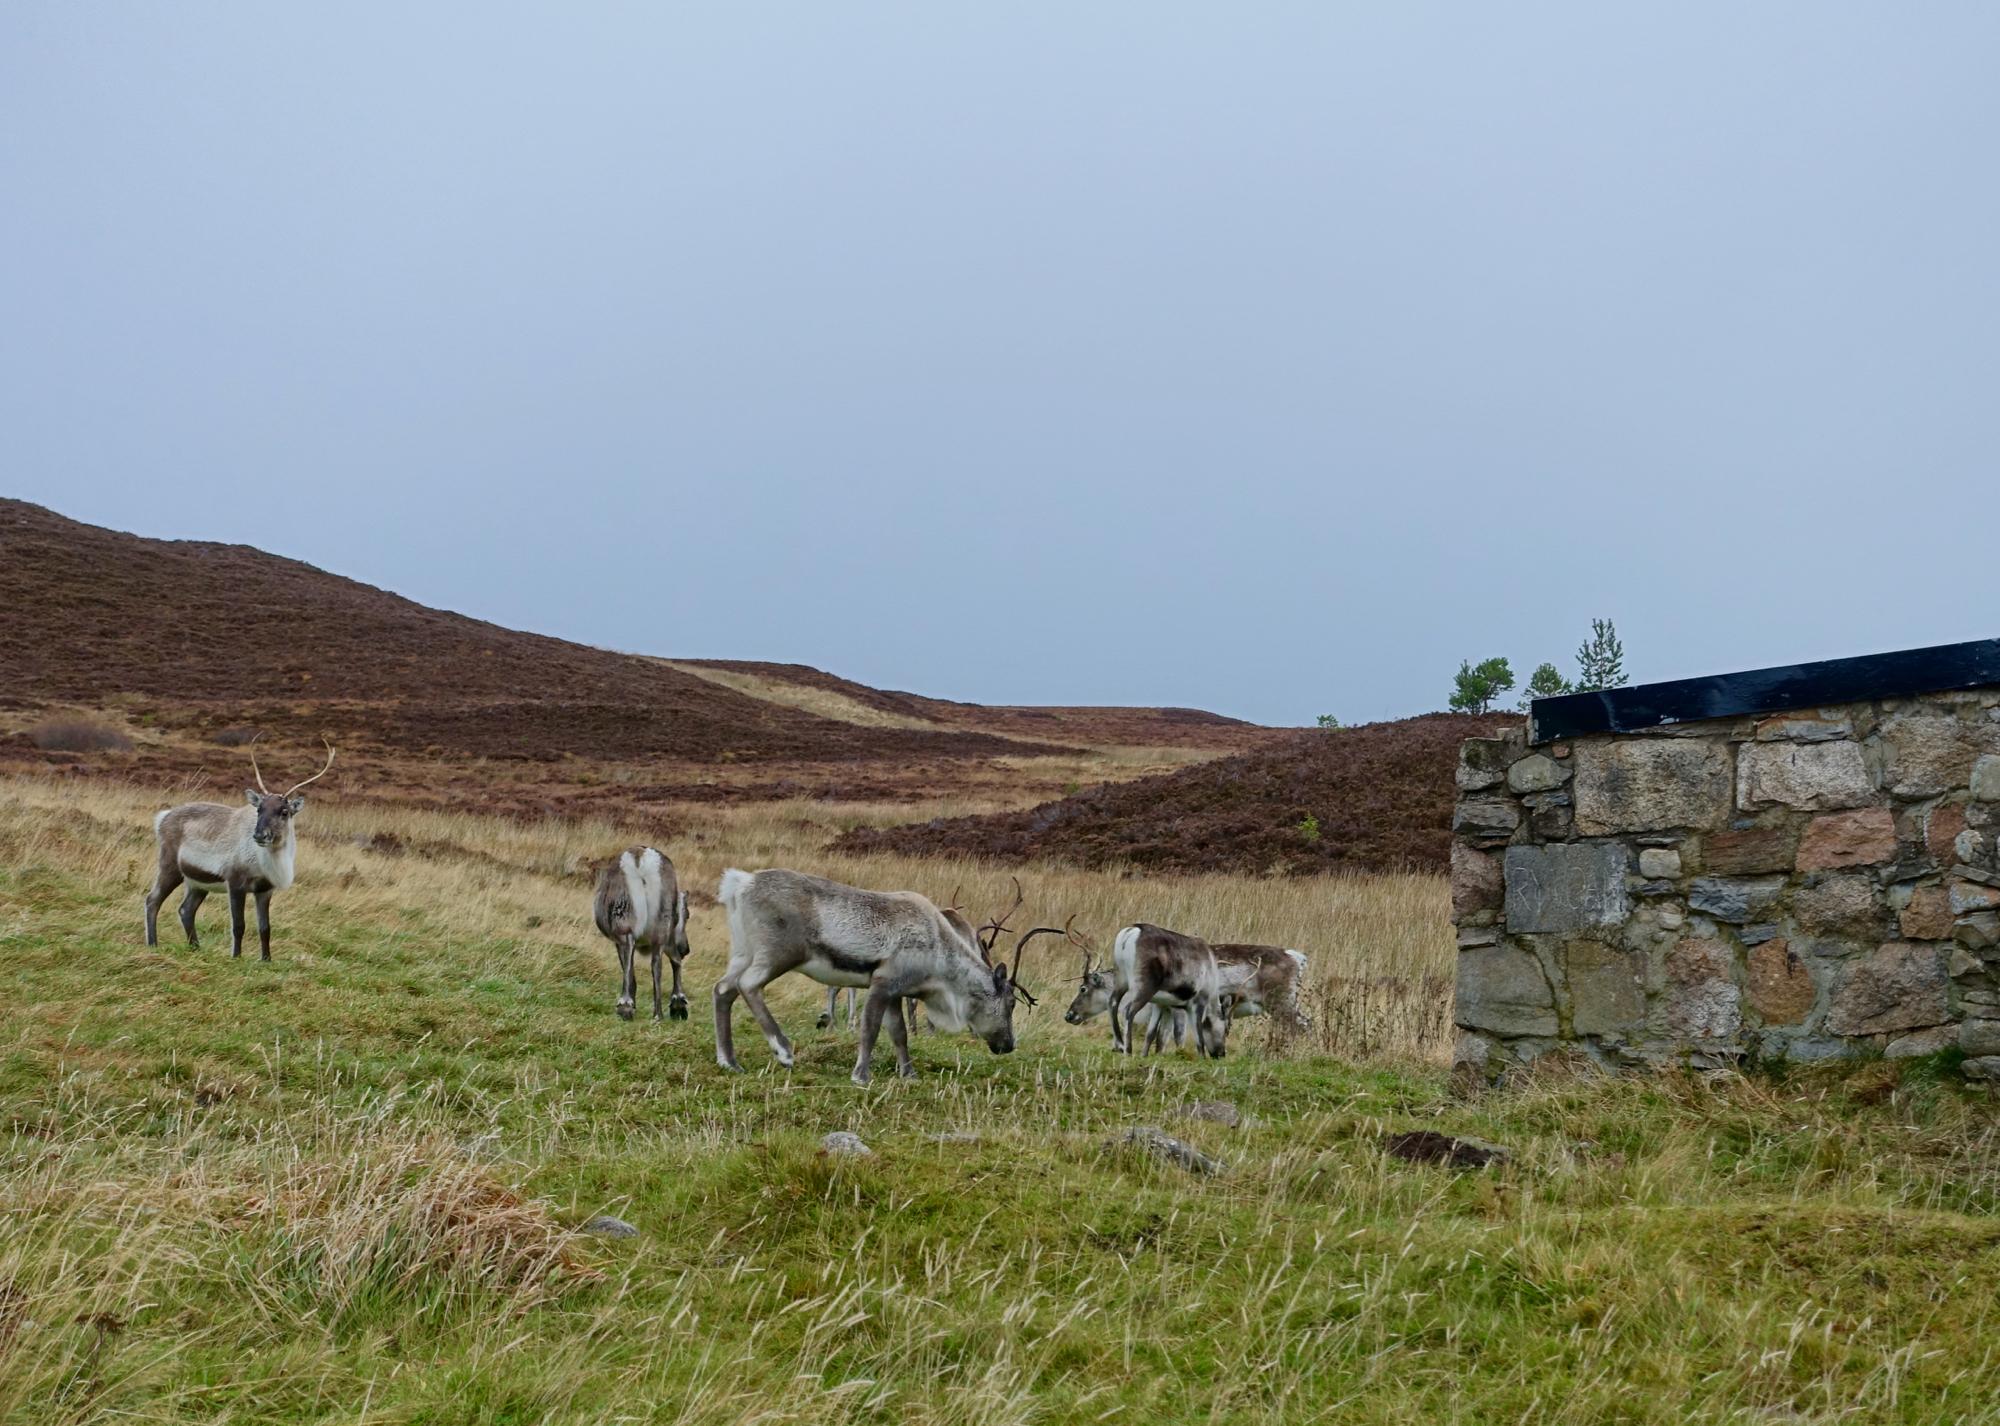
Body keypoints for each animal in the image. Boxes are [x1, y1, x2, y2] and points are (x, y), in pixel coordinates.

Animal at [142, 738, 335, 961]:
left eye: (284, 812)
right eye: (259, 809)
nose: (260, 835)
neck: (266, 863)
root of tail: (163, 817)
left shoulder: (265, 890)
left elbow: (265, 928)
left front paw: (266, 960)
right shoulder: (235, 882)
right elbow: (238, 925)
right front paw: (236, 957)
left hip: (198, 882)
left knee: (185, 910)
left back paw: (195, 947)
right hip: (170, 867)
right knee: (152, 900)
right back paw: (153, 944)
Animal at [591, 846, 692, 1021]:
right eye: (687, 915)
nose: (685, 949)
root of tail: (641, 862)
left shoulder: (617, 941)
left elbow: (629, 969)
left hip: (625, 919)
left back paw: (626, 1006)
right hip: (662, 924)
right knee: (661, 963)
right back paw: (662, 1013)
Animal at [713, 869, 1035, 1085]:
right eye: (1011, 1003)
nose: (1009, 1044)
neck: (941, 957)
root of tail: (741, 883)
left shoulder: (895, 992)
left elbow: (899, 1034)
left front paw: (909, 1074)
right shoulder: (882, 983)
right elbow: (870, 1030)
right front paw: (861, 1075)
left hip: (742, 953)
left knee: (722, 989)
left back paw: (729, 1061)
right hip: (778, 954)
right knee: (748, 985)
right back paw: (784, 1051)